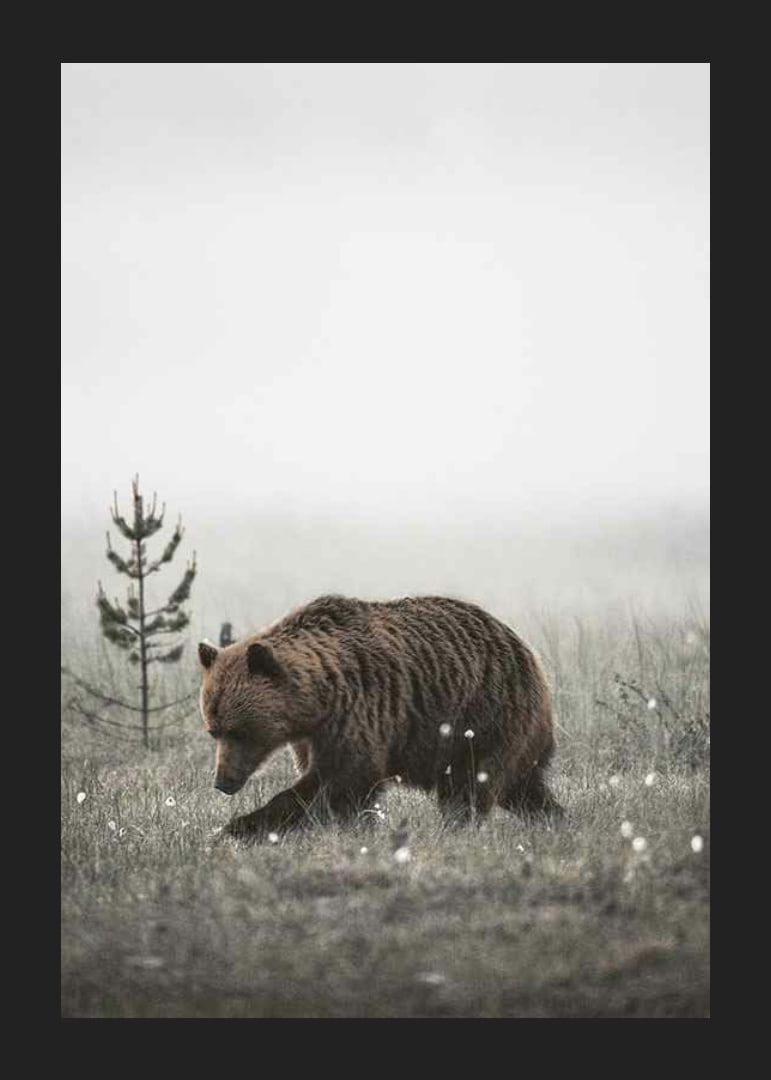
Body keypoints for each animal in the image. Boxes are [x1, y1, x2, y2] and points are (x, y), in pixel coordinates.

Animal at [197, 594, 561, 841]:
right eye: (213, 730)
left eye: (240, 731)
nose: (223, 782)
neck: (316, 702)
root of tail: (528, 651)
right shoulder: (309, 736)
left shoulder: (357, 713)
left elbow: (342, 779)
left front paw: (240, 825)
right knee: (523, 787)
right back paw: (556, 817)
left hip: (483, 717)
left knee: (471, 784)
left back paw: (456, 828)